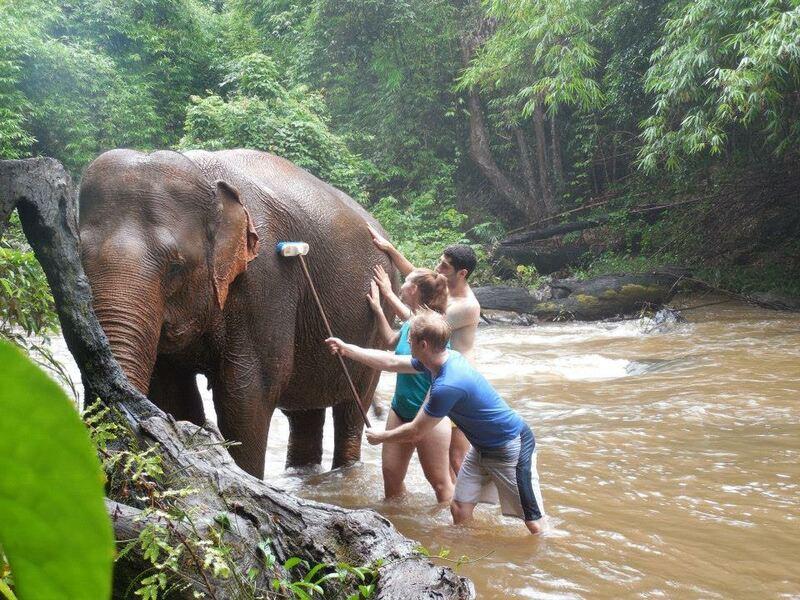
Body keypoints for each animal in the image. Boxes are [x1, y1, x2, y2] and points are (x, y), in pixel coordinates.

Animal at [79, 148, 394, 476]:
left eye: (176, 266)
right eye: (78, 255)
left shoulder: (267, 279)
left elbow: (248, 392)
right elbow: (171, 393)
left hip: (374, 329)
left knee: (351, 408)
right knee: (305, 412)